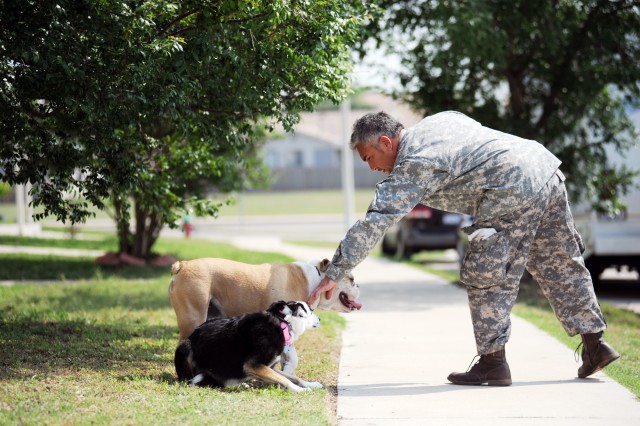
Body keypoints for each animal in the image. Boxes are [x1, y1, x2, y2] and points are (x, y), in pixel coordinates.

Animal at [174, 300, 320, 392]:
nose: (319, 319)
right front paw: (300, 390)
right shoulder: (253, 365)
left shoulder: (268, 367)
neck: (282, 325)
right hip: (184, 346)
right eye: (311, 311)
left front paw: (310, 384)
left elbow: (293, 377)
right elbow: (284, 379)